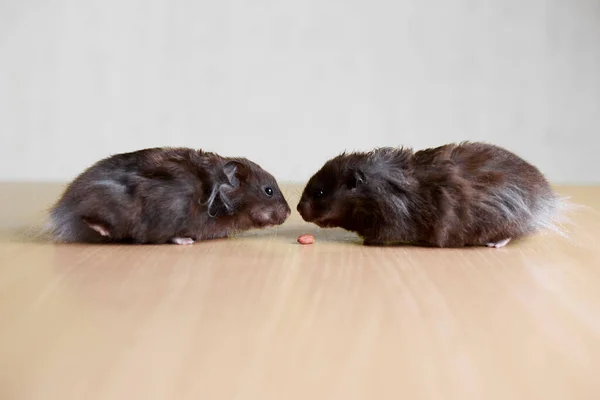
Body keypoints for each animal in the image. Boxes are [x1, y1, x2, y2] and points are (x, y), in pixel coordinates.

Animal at [298, 141, 568, 247]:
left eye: (319, 192)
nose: (299, 209)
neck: (369, 193)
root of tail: (547, 199)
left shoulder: (388, 222)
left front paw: (364, 242)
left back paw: (493, 244)